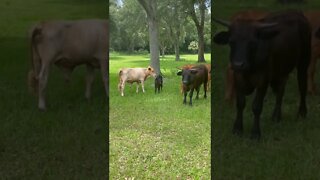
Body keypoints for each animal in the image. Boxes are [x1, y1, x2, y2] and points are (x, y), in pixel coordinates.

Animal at [214, 10, 312, 139]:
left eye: (252, 42)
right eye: (231, 42)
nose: (238, 64)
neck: (249, 69)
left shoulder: (262, 81)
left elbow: (256, 106)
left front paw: (255, 133)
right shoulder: (238, 78)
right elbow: (240, 103)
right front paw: (237, 128)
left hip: (304, 61)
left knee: (302, 85)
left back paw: (302, 112)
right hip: (282, 70)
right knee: (280, 91)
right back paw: (276, 116)